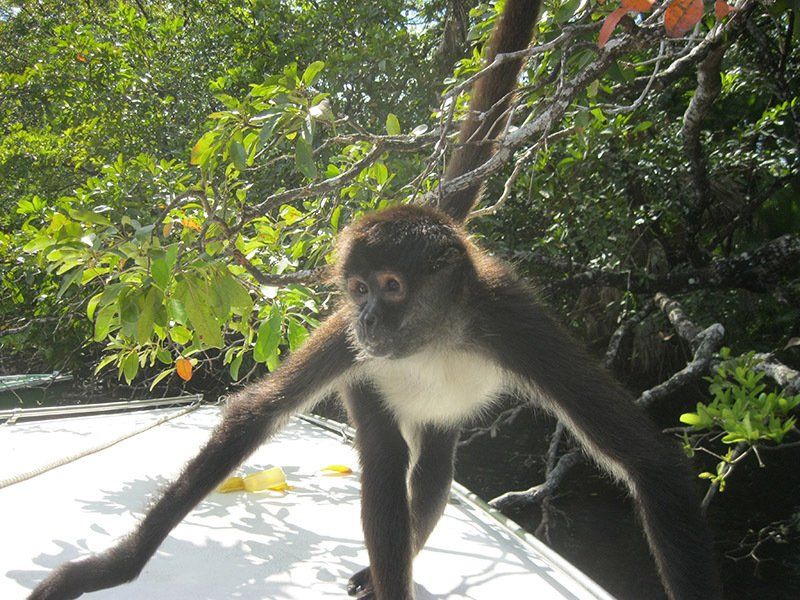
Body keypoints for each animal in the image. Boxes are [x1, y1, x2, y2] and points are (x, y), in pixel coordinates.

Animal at [29, 1, 722, 599]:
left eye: (392, 287)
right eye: (360, 289)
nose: (367, 313)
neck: (438, 334)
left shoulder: (510, 319)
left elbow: (651, 464)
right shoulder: (348, 340)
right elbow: (255, 413)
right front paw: (111, 570)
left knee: (433, 469)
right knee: (390, 459)